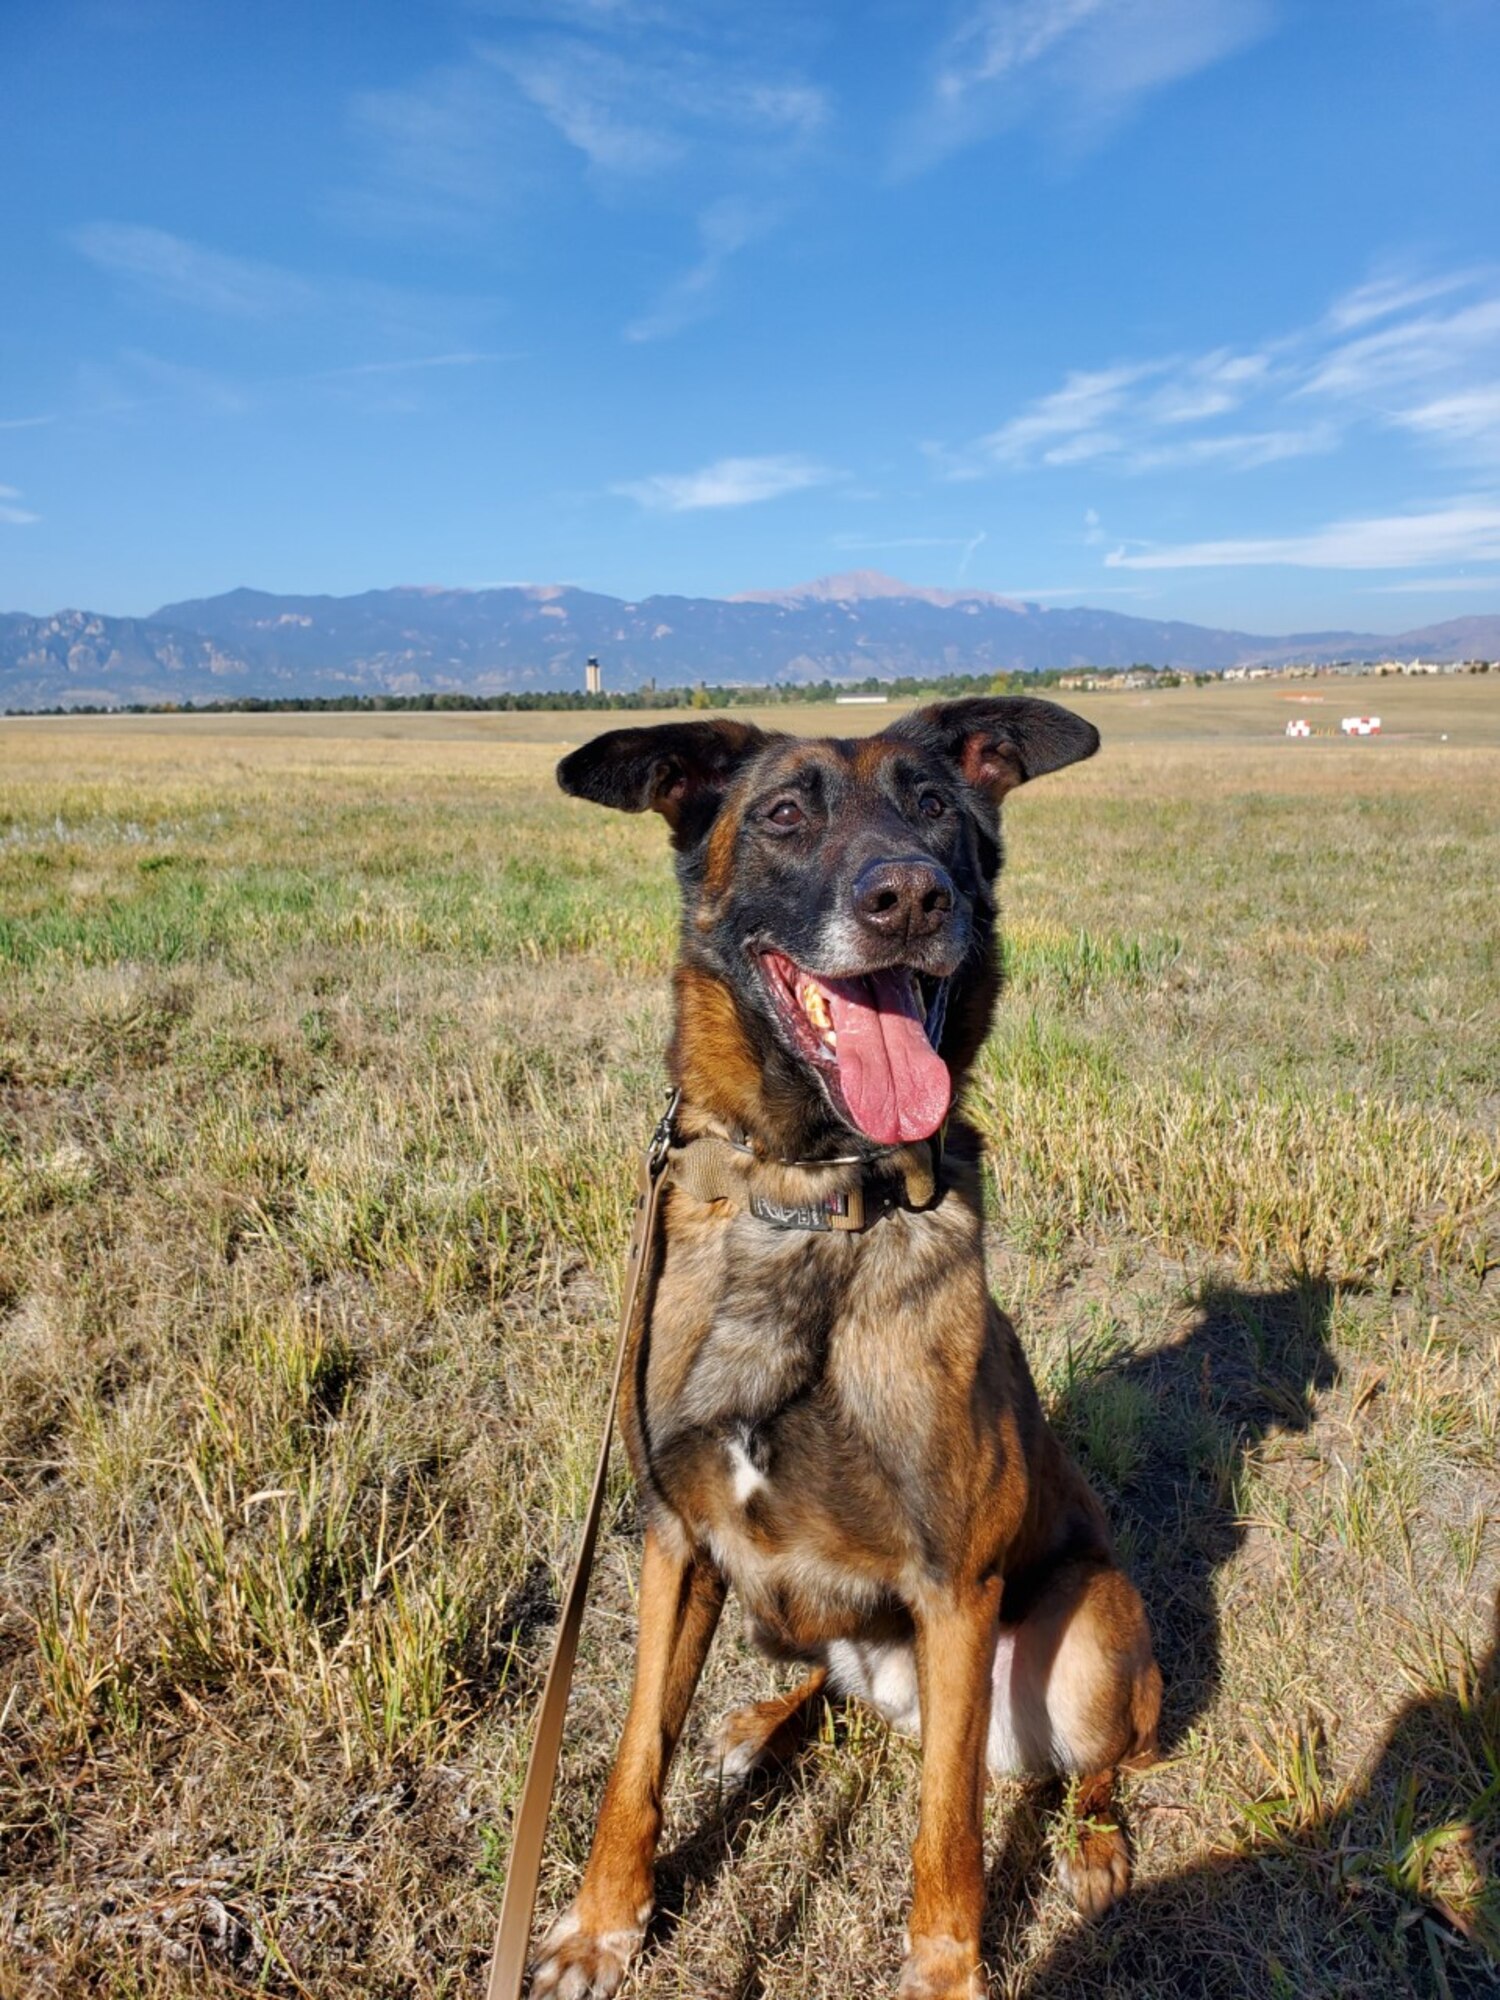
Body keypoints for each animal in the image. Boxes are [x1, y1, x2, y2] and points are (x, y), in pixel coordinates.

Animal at [536, 700, 1168, 2000]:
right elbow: (633, 1752)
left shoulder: (955, 1589)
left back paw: (1092, 1846)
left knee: (1083, 1764)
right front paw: (602, 1919)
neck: (817, 1203)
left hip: (1088, 1630)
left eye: (933, 804)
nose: (911, 896)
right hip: (802, 1620)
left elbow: (947, 1833)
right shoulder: (678, 1537)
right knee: (829, 1697)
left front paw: (945, 1972)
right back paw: (758, 1723)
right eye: (785, 812)